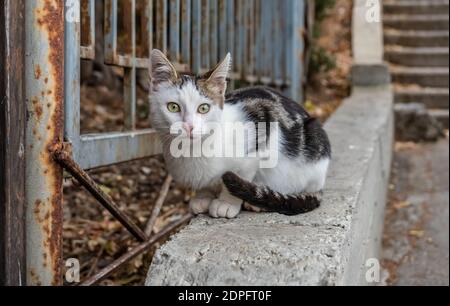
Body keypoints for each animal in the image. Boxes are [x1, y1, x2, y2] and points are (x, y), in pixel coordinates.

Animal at [148, 49, 330, 219]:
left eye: (204, 108)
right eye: (173, 107)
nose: (189, 126)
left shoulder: (262, 125)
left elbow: (241, 173)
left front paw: (226, 203)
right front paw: (202, 196)